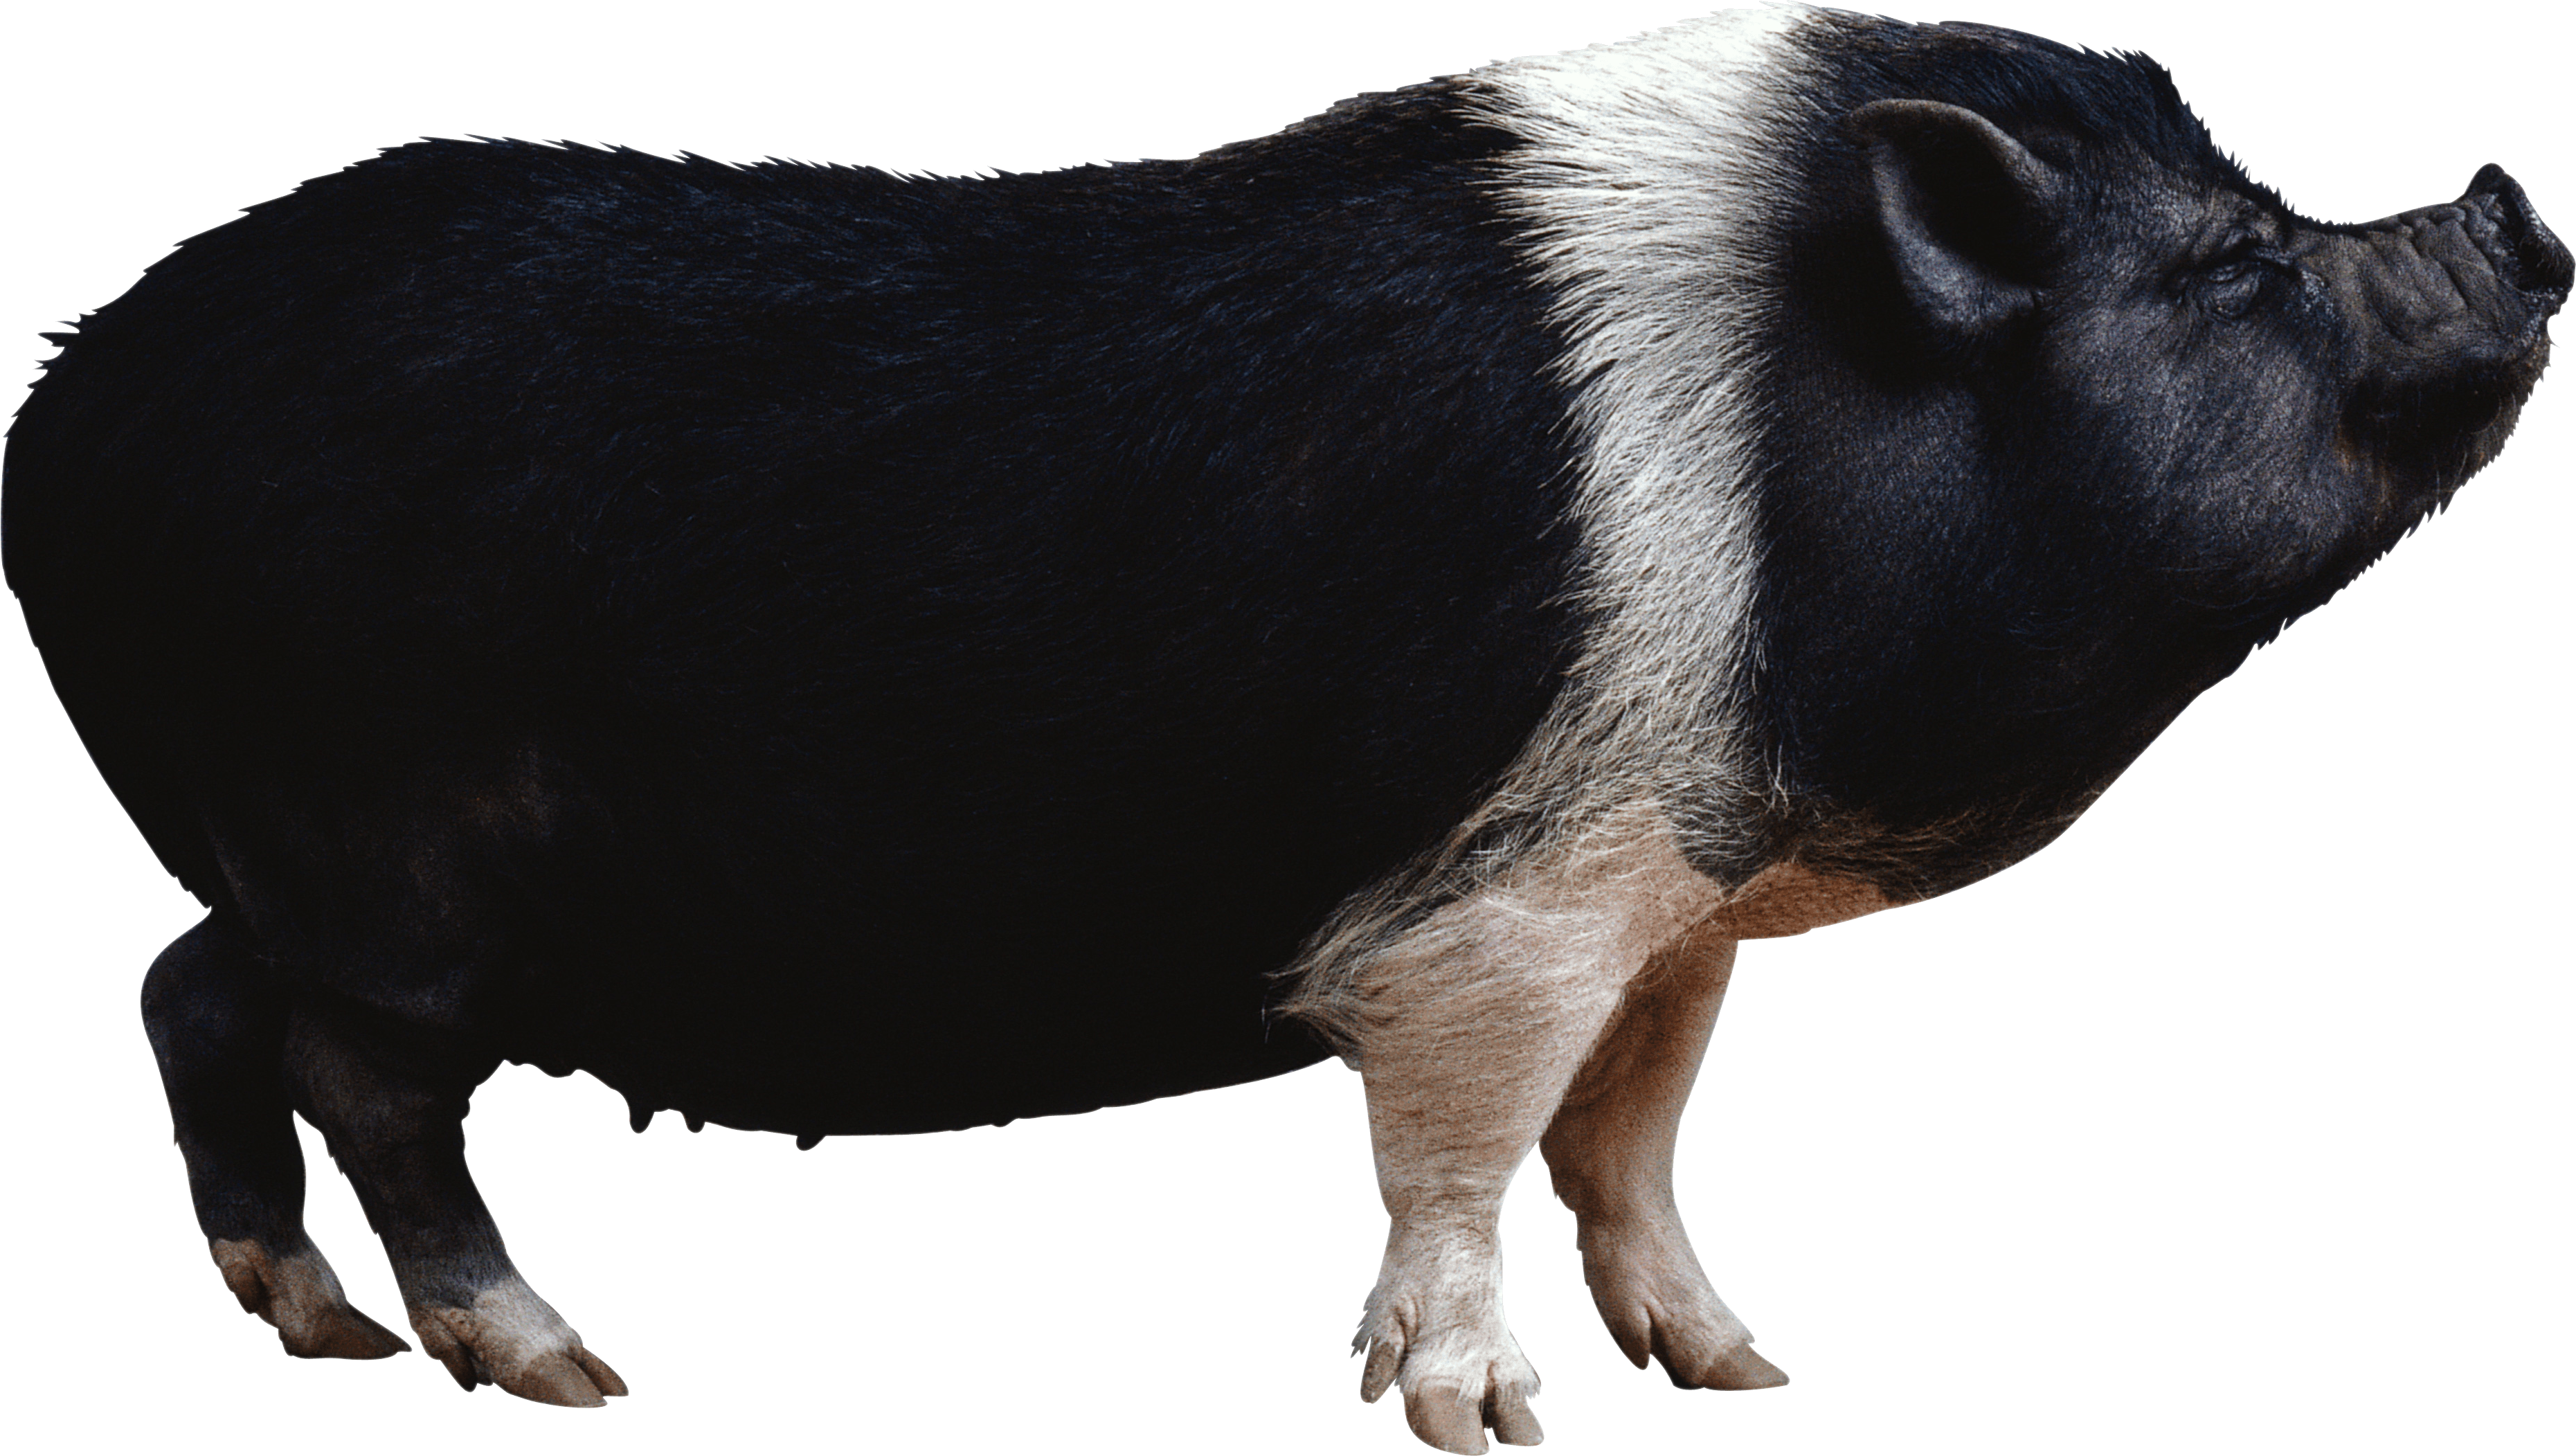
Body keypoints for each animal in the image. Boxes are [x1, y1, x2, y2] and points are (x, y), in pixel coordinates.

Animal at [1, 5, 2562, 1452]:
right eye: (2230, 268)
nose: (2513, 204)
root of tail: (70, 404)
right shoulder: (1504, 906)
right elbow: (1467, 1149)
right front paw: (1490, 1423)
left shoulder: (1670, 886)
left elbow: (1630, 1132)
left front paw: (1740, 1371)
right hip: (391, 865)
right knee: (352, 1071)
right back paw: (556, 1371)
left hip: (291, 862)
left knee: (184, 988)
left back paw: (317, 1334)